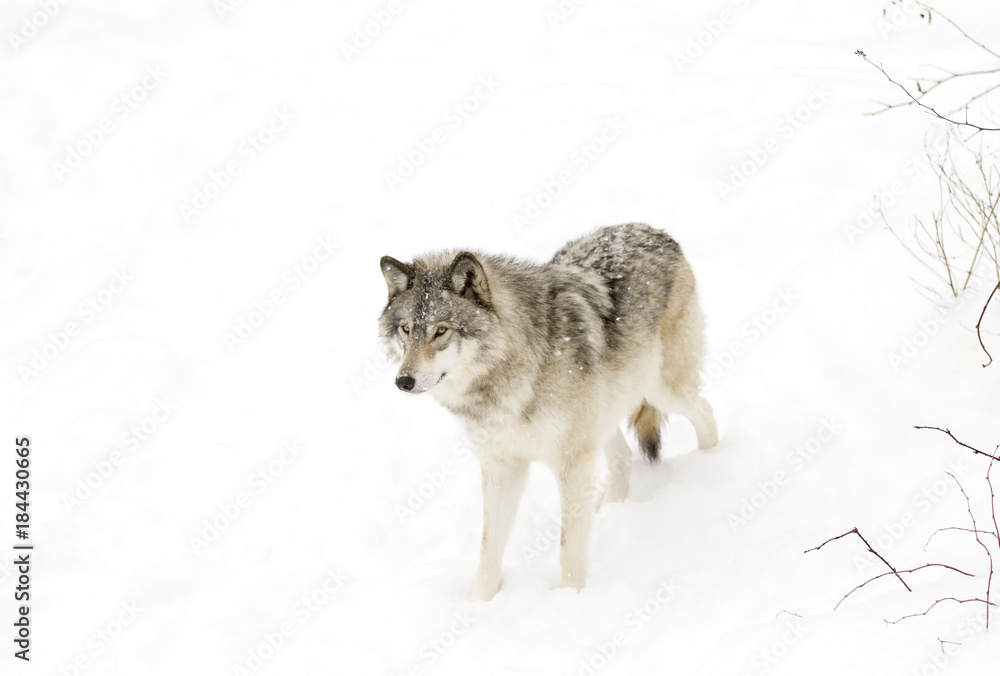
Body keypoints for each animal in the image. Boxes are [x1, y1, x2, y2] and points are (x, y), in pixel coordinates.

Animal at [379, 223, 718, 600]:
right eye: (406, 329)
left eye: (441, 330)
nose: (403, 381)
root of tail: (652, 230)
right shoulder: (501, 466)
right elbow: (488, 549)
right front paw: (480, 602)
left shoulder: (571, 463)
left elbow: (568, 547)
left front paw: (570, 598)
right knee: (623, 456)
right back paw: (609, 510)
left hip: (663, 390)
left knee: (706, 411)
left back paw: (712, 464)